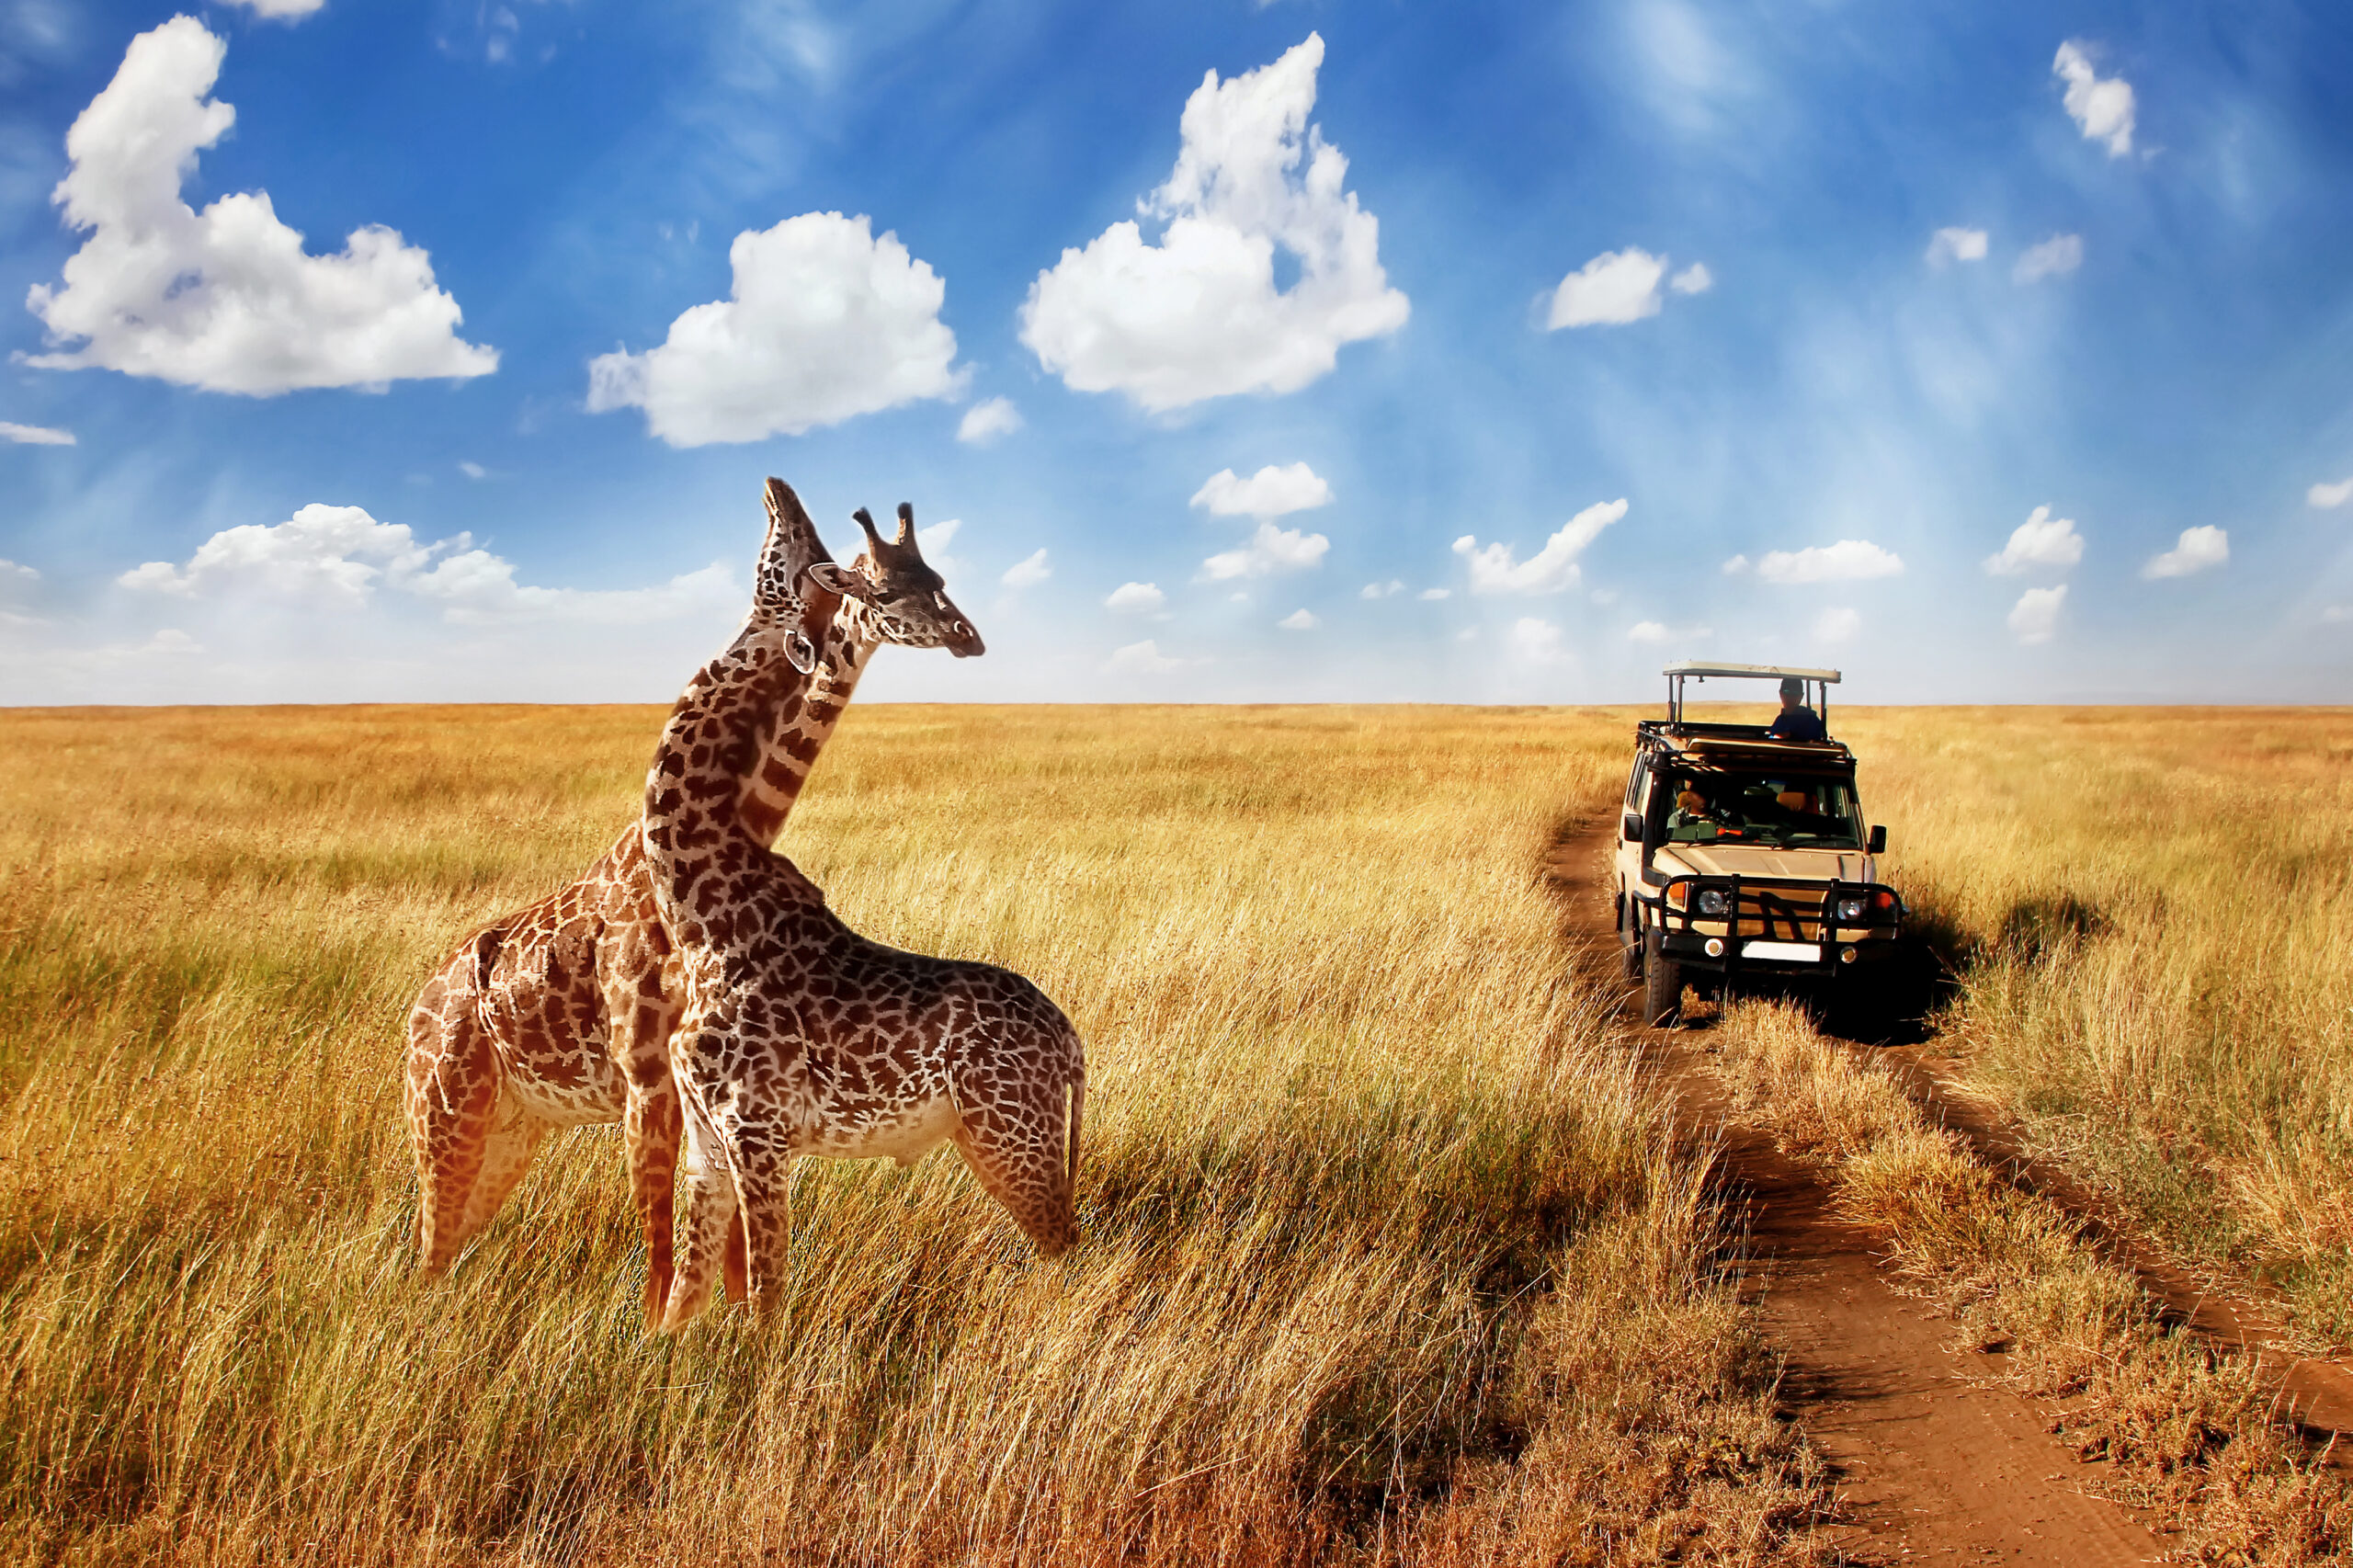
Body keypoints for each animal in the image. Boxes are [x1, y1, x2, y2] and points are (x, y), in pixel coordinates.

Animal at [403, 480, 980, 1325]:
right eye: (880, 584)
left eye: (936, 577)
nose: (968, 637)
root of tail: (418, 1004)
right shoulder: (651, 1078)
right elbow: (669, 1242)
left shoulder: (703, 1088)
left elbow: (719, 1245)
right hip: (445, 1113)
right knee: (429, 1245)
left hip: (513, 1125)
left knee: (447, 1246)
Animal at [640, 521, 1085, 1332]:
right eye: (885, 587)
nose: (966, 636)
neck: (699, 917)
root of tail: (1072, 1043)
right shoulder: (706, 1140)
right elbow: (684, 1298)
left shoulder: (759, 1130)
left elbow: (767, 1295)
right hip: (998, 1138)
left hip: (1013, 1136)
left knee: (1068, 1245)